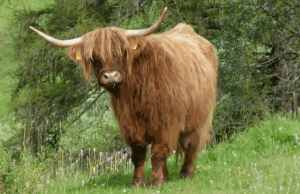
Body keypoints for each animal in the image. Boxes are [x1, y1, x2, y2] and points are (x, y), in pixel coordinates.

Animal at [29, 7, 218, 188]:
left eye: (121, 53)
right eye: (94, 57)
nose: (111, 76)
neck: (136, 92)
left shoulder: (167, 123)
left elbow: (158, 152)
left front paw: (155, 182)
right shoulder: (129, 124)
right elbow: (138, 155)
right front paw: (138, 183)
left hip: (199, 116)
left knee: (191, 144)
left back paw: (186, 173)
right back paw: (166, 177)